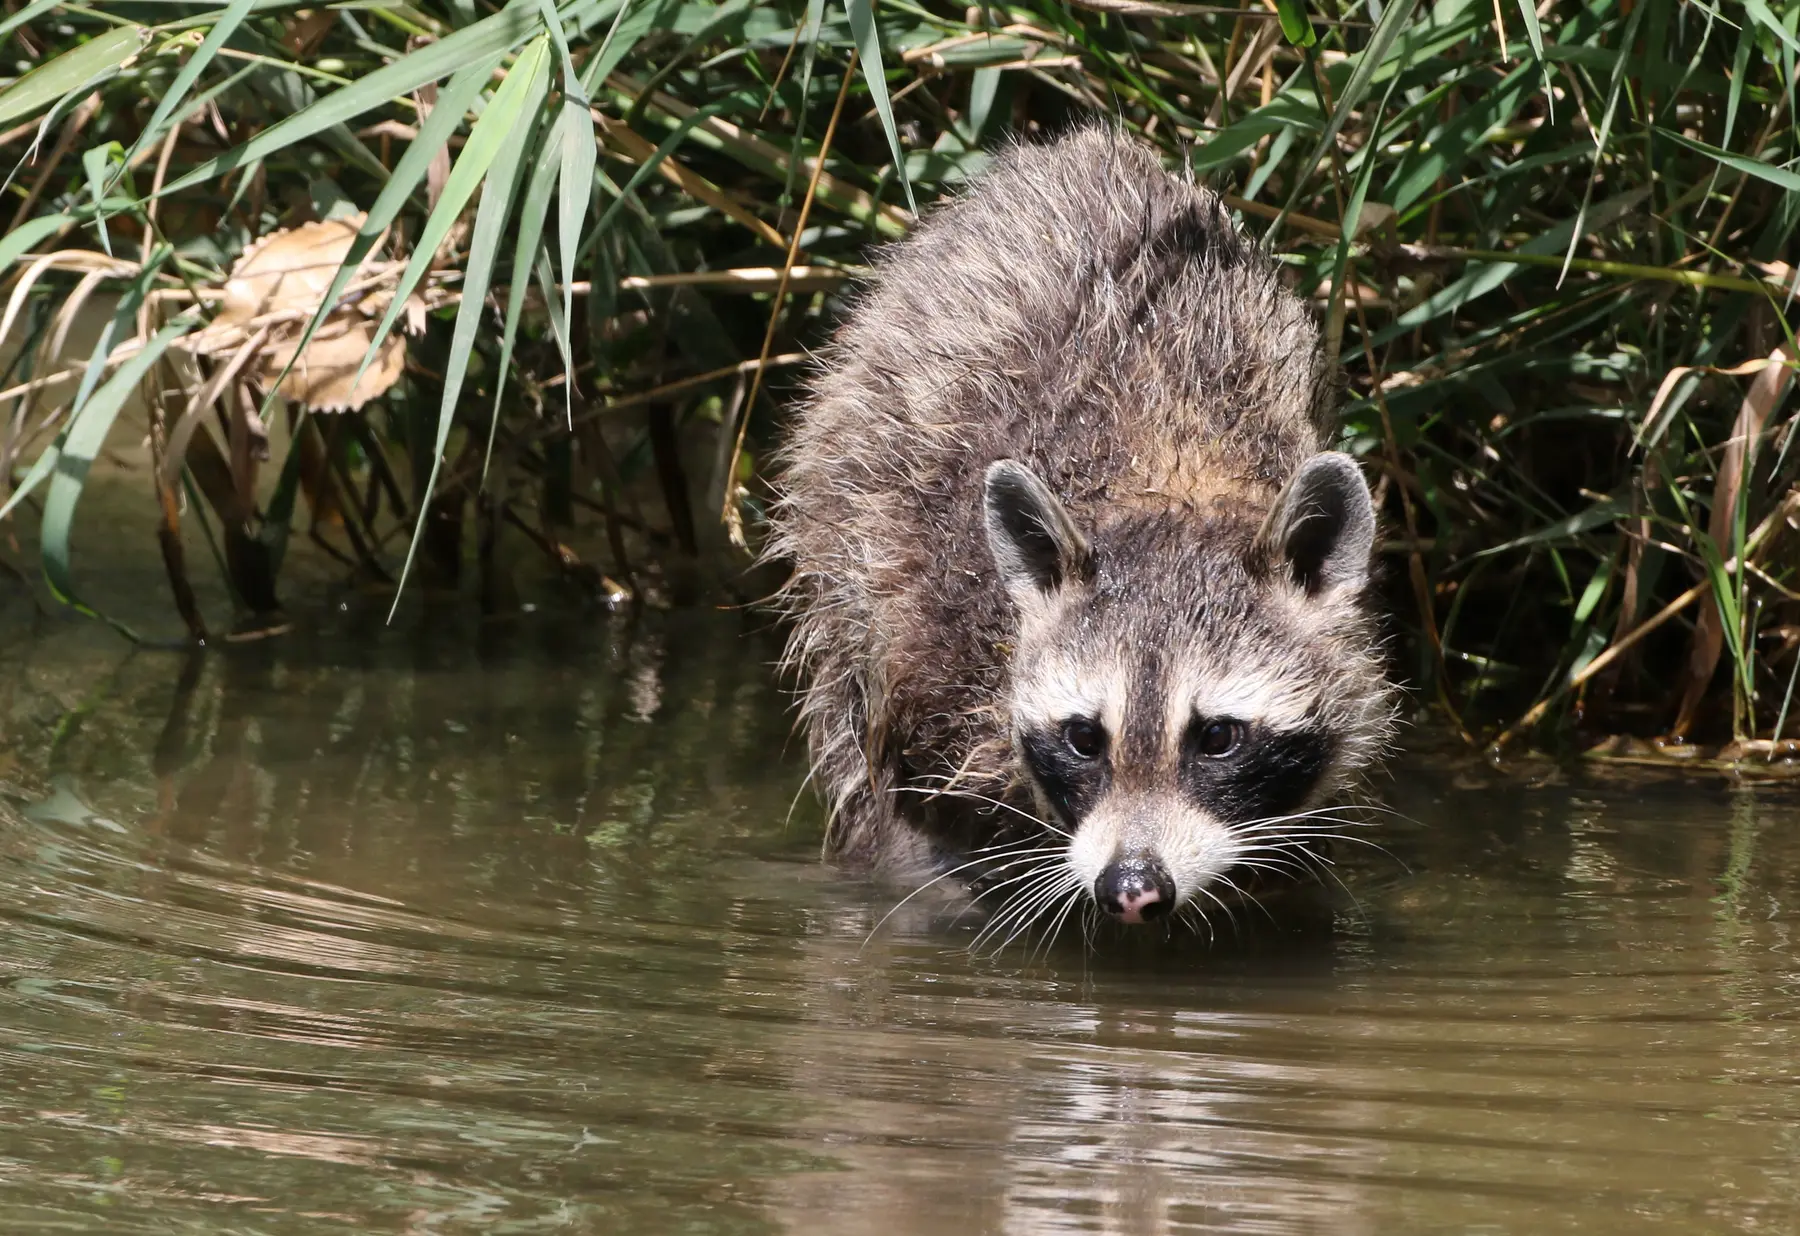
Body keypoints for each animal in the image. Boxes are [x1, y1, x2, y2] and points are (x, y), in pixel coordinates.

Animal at [765, 126, 1394, 933]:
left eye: (1218, 736)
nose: (1132, 885)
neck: (1174, 479)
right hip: (846, 514)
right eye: (1084, 737)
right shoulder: (938, 623)